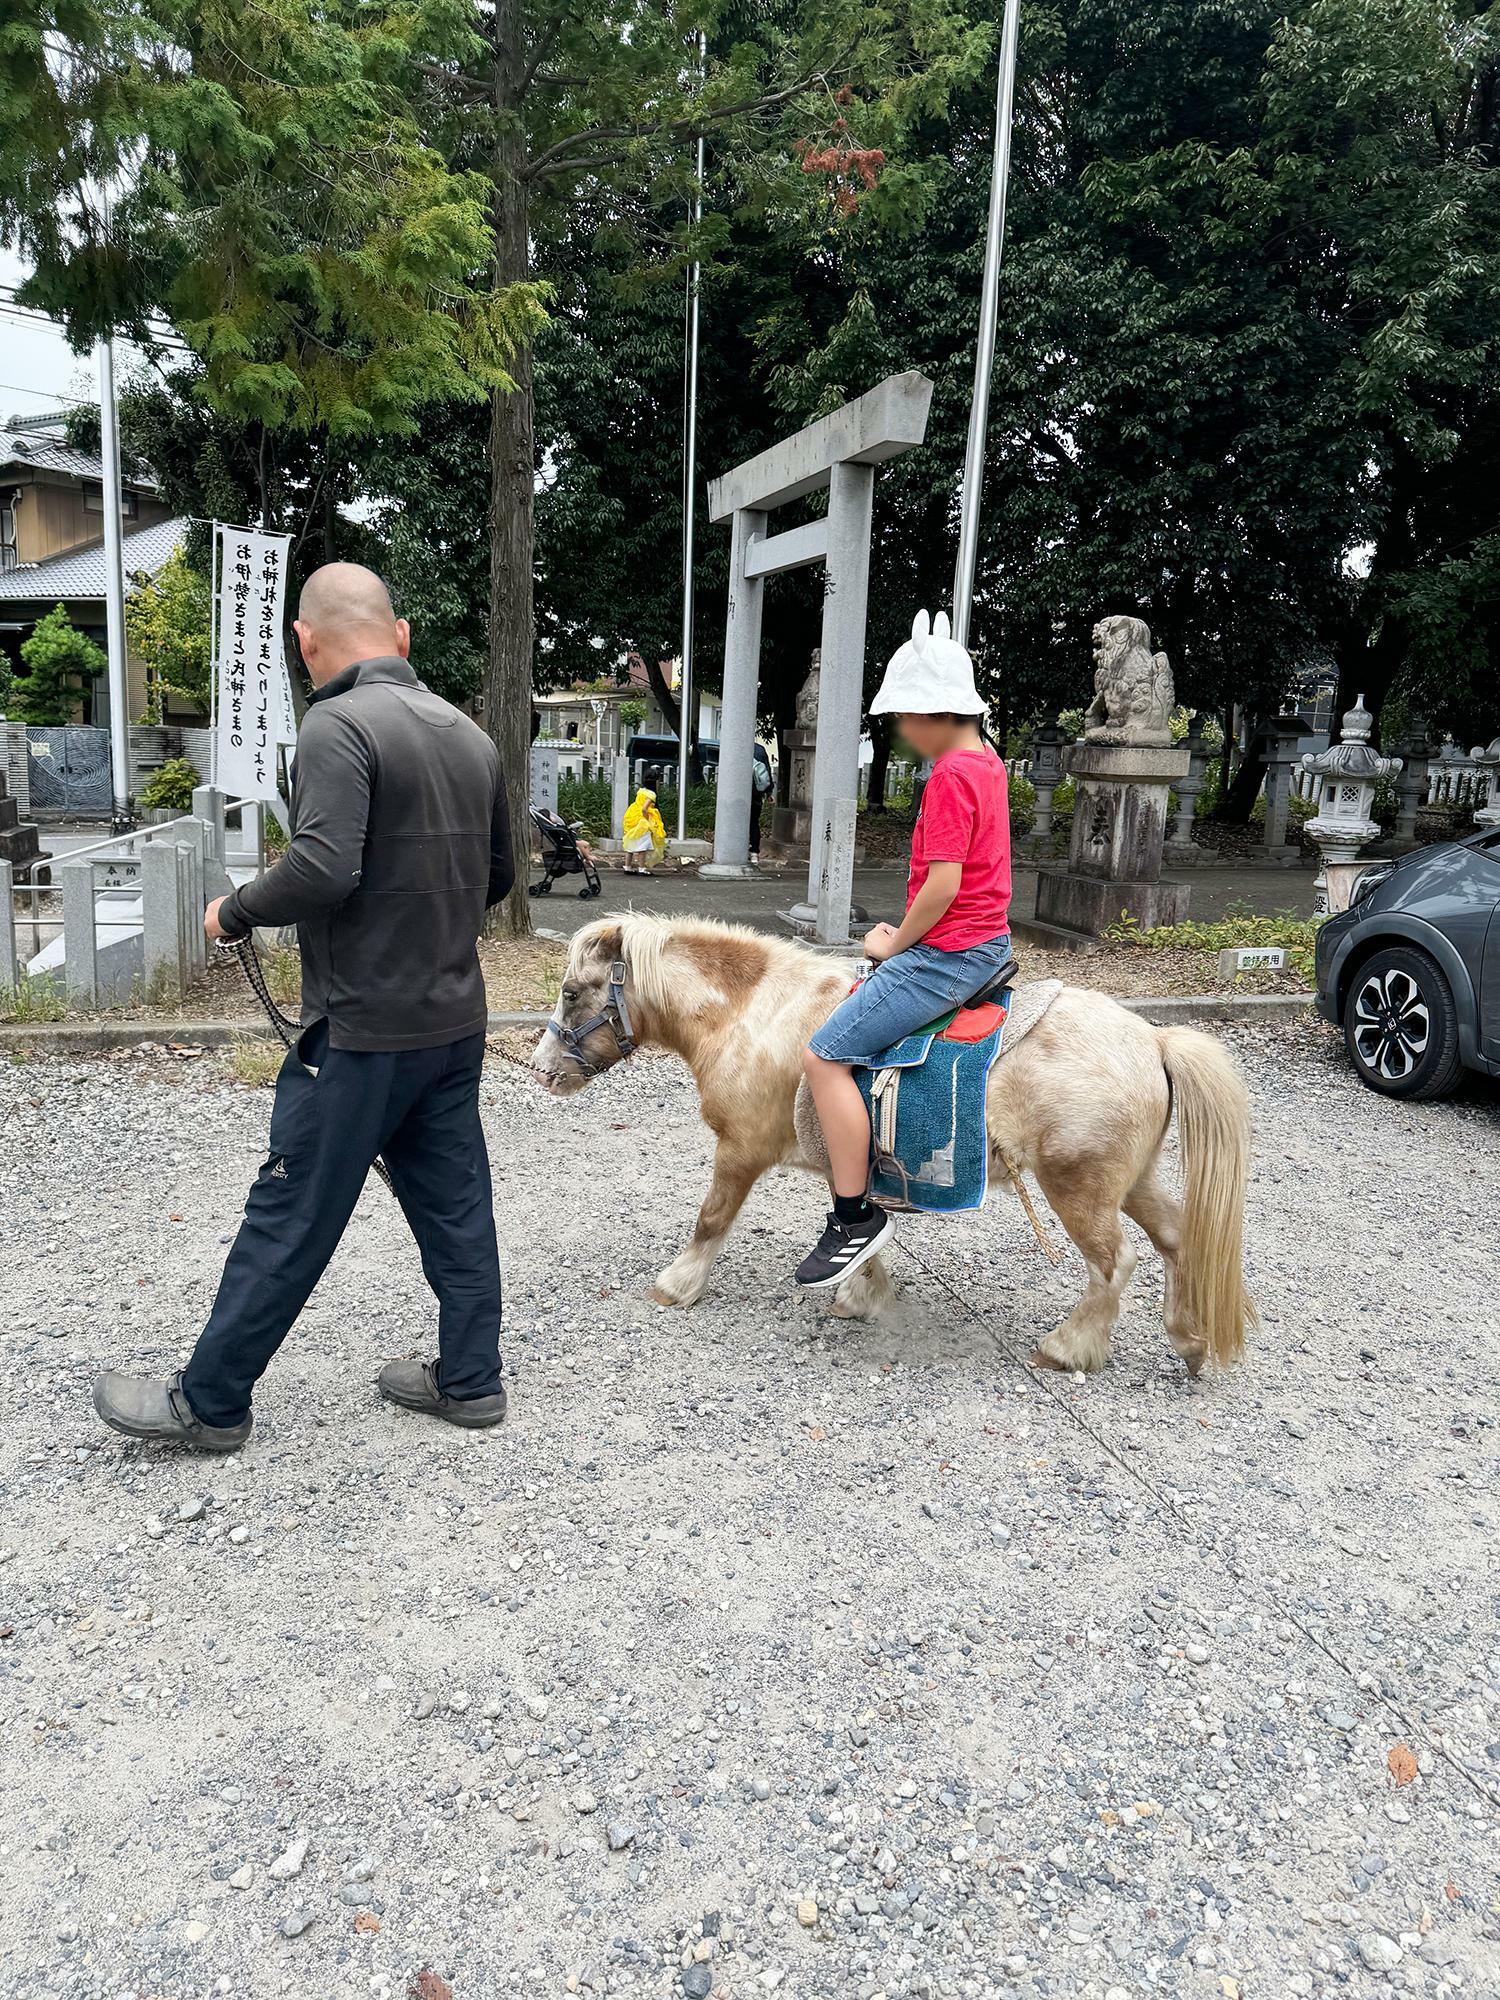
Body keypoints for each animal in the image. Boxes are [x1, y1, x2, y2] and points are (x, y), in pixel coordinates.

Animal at [528, 916, 1256, 1376]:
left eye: (571, 992)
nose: (541, 1070)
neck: (753, 1013)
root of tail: (1154, 1039)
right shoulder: (842, 1157)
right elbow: (860, 1222)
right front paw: (861, 1293)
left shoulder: (740, 1151)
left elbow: (712, 1219)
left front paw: (677, 1285)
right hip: (1132, 1180)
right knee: (1177, 1239)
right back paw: (1189, 1339)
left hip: (1079, 1185)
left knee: (1115, 1263)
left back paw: (1070, 1346)